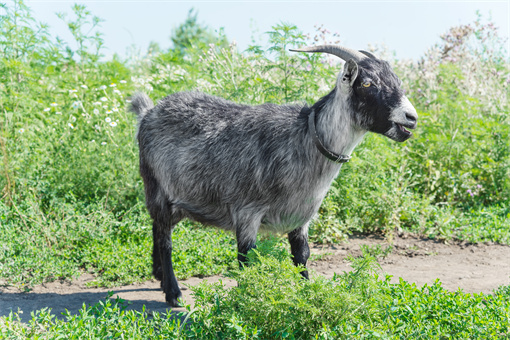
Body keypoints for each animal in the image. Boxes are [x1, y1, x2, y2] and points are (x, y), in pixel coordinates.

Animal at [130, 43, 418, 306]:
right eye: (368, 83)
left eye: (396, 80)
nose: (411, 117)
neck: (304, 138)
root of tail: (148, 112)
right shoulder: (247, 212)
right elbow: (247, 260)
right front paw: (246, 303)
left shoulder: (301, 216)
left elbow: (301, 256)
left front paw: (306, 296)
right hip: (156, 186)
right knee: (165, 239)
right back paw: (173, 292)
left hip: (182, 199)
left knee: (158, 227)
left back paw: (159, 275)